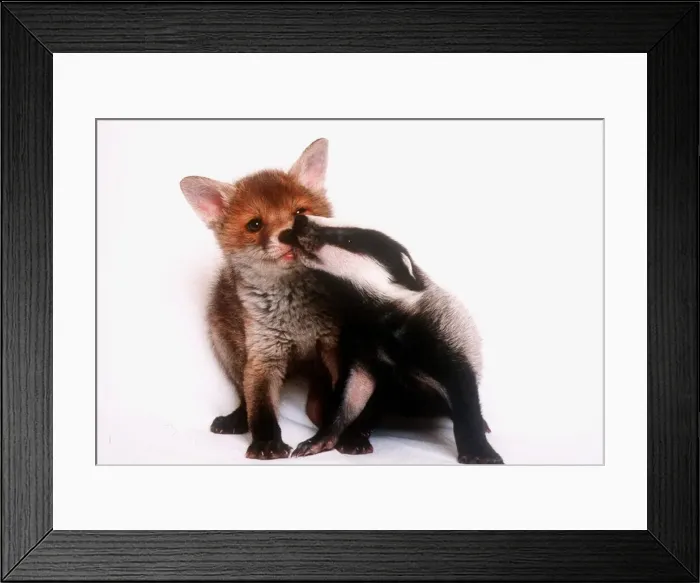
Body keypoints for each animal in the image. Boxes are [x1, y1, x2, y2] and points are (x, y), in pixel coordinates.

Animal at [180, 138, 359, 460]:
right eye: (254, 225)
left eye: (299, 214)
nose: (287, 234)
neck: (296, 317)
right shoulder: (264, 355)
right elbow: (261, 407)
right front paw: (266, 444)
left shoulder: (333, 345)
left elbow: (345, 399)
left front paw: (351, 434)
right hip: (229, 349)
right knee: (244, 394)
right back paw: (237, 419)